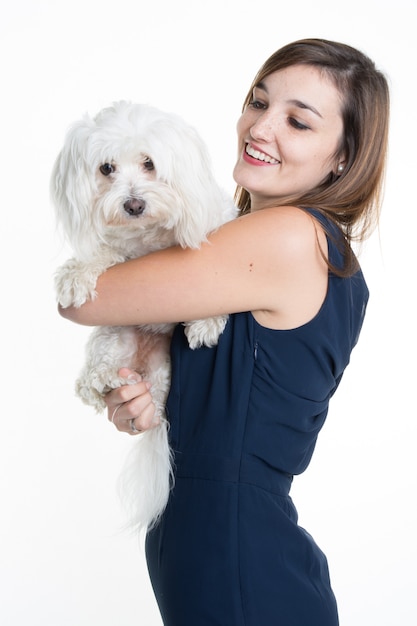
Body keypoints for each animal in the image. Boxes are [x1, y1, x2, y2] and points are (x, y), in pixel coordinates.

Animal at [52, 101, 237, 528]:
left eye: (150, 163)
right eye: (106, 168)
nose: (133, 204)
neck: (150, 234)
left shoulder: (214, 224)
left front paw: (206, 321)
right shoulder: (122, 251)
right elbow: (105, 252)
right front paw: (76, 274)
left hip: (164, 369)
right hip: (114, 336)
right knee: (89, 384)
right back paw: (105, 379)